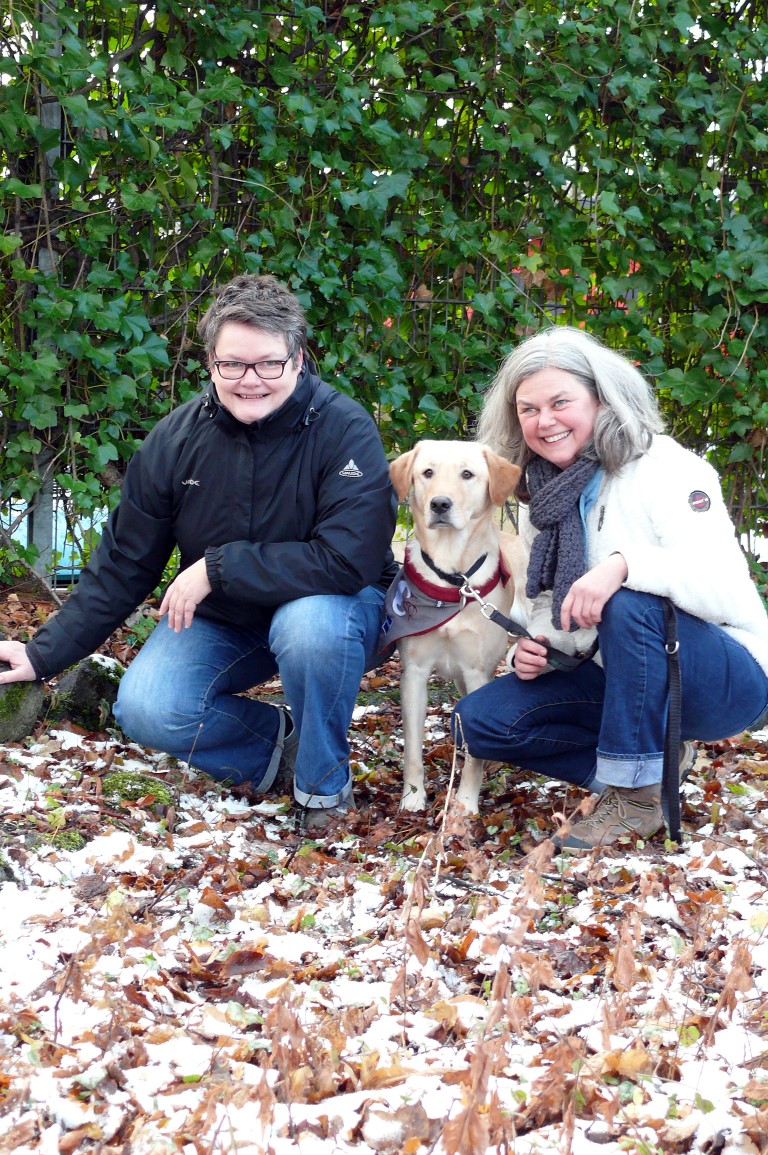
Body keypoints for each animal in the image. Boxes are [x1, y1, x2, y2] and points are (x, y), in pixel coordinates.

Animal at [383, 438, 526, 813]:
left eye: (467, 474)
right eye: (427, 472)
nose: (440, 503)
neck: (453, 582)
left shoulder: (477, 673)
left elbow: (473, 756)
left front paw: (465, 804)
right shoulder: (415, 672)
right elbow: (413, 749)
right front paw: (412, 800)